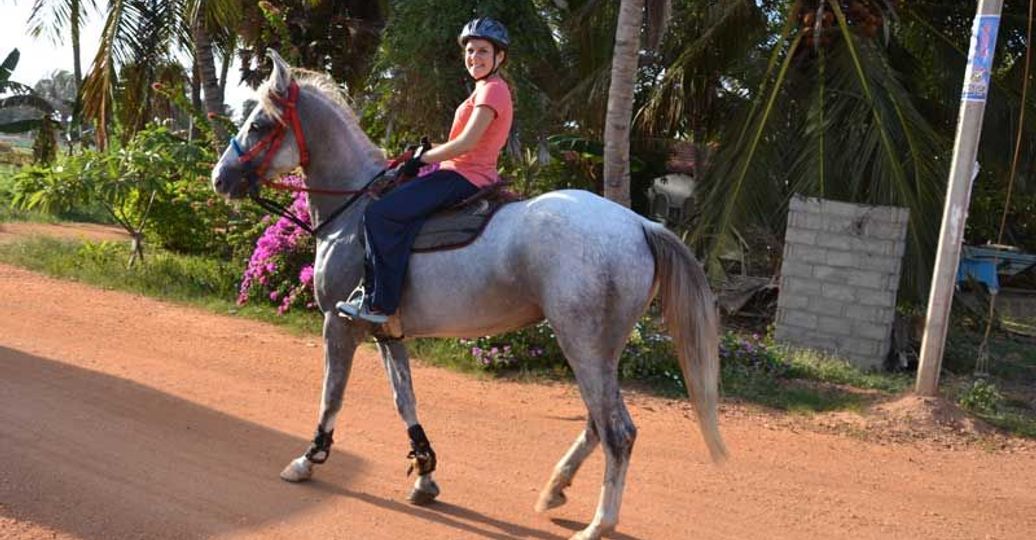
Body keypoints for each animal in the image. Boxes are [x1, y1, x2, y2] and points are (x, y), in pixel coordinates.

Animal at [210, 50, 726, 540]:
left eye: (259, 124)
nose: (220, 178)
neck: (355, 210)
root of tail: (640, 224)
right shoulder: (386, 331)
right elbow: (405, 400)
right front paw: (424, 474)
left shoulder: (339, 324)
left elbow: (331, 396)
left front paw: (309, 458)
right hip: (601, 348)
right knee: (597, 422)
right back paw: (555, 489)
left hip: (581, 342)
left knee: (618, 431)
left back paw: (598, 524)